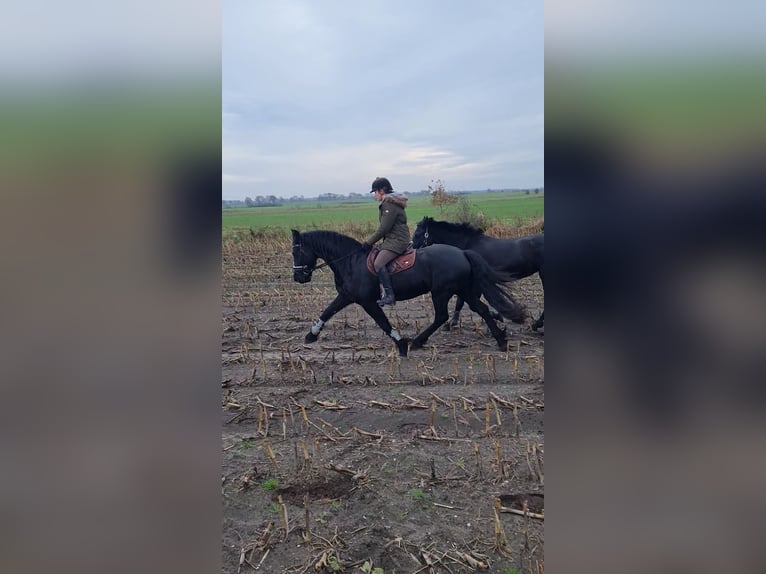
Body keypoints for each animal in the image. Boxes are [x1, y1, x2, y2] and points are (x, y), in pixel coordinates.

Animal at [291, 229, 527, 357]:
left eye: (297, 252)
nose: (298, 277)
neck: (350, 261)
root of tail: (462, 252)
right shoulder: (346, 297)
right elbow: (327, 312)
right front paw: (311, 335)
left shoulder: (368, 302)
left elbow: (383, 323)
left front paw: (401, 344)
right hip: (463, 290)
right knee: (482, 310)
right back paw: (501, 340)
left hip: (441, 292)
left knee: (442, 316)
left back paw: (417, 342)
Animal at [411, 217, 544, 331]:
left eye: (418, 233)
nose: (411, 248)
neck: (469, 245)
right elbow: (462, 302)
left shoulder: (476, 282)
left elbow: (465, 303)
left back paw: (536, 325)